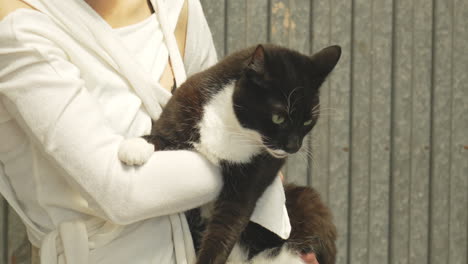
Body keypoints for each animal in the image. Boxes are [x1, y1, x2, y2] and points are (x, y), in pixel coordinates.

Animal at [119, 44, 340, 262]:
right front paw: (135, 147)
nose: (294, 146)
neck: (233, 127)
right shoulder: (182, 109)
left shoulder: (251, 178)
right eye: (278, 117)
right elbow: (161, 136)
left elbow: (225, 228)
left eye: (308, 121)